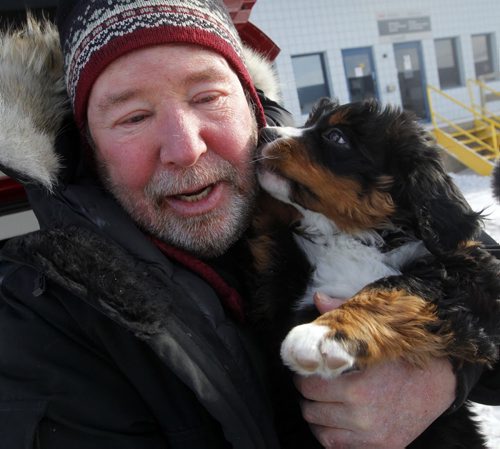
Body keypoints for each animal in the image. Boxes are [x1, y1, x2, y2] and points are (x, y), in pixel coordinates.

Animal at [248, 98, 500, 448]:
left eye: (336, 137)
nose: (264, 133)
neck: (351, 234)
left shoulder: (473, 280)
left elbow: (395, 286)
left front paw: (324, 333)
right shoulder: (278, 280)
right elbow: (267, 216)